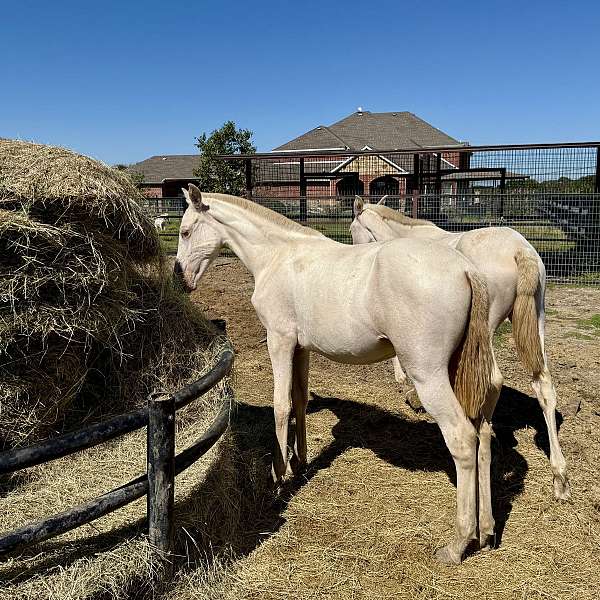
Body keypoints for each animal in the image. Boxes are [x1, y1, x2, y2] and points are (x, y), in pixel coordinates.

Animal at [352, 198, 572, 502]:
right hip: (536, 320)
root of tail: (519, 250)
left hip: (485, 329)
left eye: (353, 231)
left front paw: (407, 387)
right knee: (544, 386)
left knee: (492, 380)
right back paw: (559, 477)